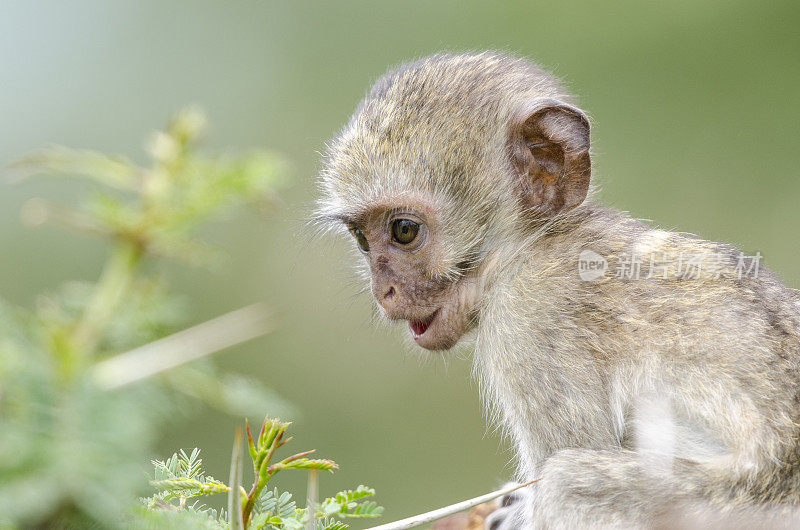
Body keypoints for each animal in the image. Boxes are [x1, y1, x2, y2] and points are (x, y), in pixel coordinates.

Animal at [318, 51, 800, 524]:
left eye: (404, 231)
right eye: (362, 239)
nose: (384, 291)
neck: (532, 246)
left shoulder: (528, 326)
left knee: (568, 482)